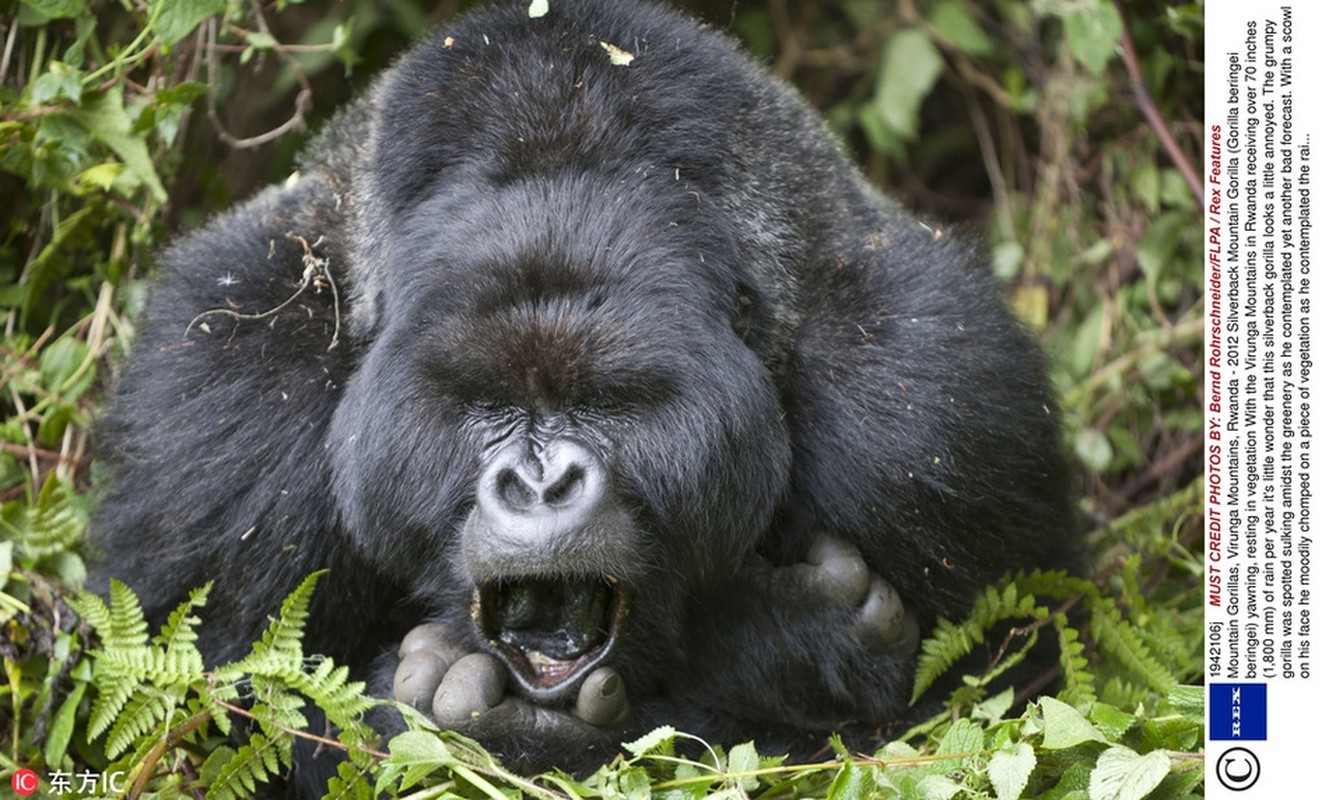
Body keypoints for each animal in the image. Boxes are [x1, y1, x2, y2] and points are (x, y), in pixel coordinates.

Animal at [91, 0, 1068, 792]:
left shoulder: (931, 411)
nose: (540, 483)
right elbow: (217, 723)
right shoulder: (221, 408)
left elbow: (998, 703)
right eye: (484, 404)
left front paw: (783, 653)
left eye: (610, 402)